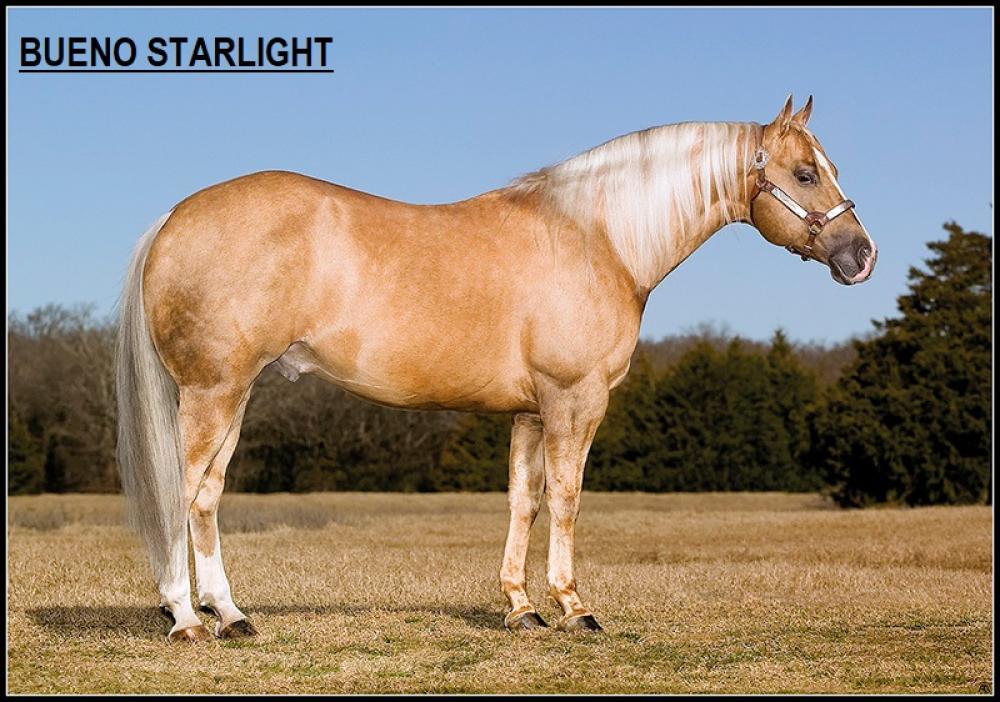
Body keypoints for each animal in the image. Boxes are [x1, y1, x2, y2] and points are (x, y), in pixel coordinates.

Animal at [116, 95, 877, 642]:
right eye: (805, 173)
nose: (861, 255)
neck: (597, 239)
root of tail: (174, 217)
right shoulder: (575, 400)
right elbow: (567, 499)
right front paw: (575, 608)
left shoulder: (530, 412)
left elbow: (524, 501)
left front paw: (521, 608)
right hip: (213, 391)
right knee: (185, 491)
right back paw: (187, 619)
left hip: (235, 394)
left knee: (208, 494)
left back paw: (231, 616)